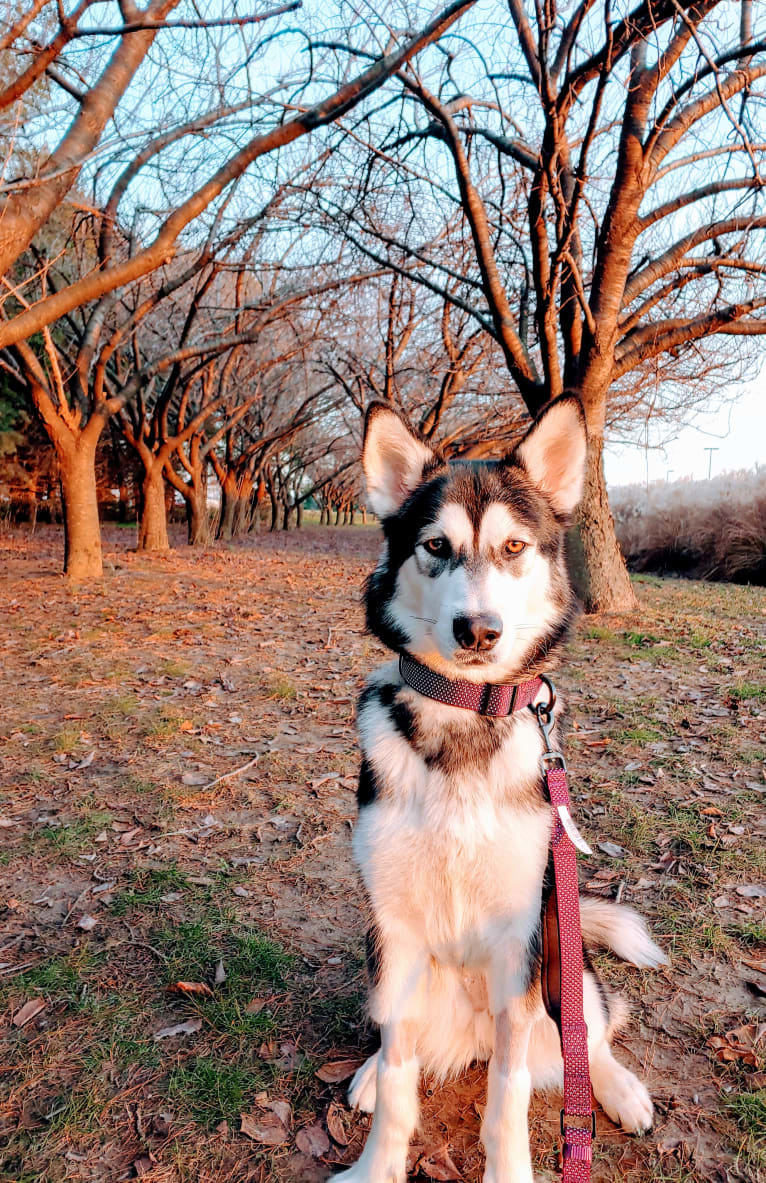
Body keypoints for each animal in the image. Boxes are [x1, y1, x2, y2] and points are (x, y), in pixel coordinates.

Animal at [338, 399, 666, 1183]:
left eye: (515, 547)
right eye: (435, 545)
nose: (478, 630)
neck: (467, 714)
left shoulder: (521, 948)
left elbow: (509, 1096)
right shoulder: (395, 931)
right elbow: (398, 1075)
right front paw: (375, 1162)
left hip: (561, 955)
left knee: (589, 1035)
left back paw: (620, 1088)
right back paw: (363, 1075)